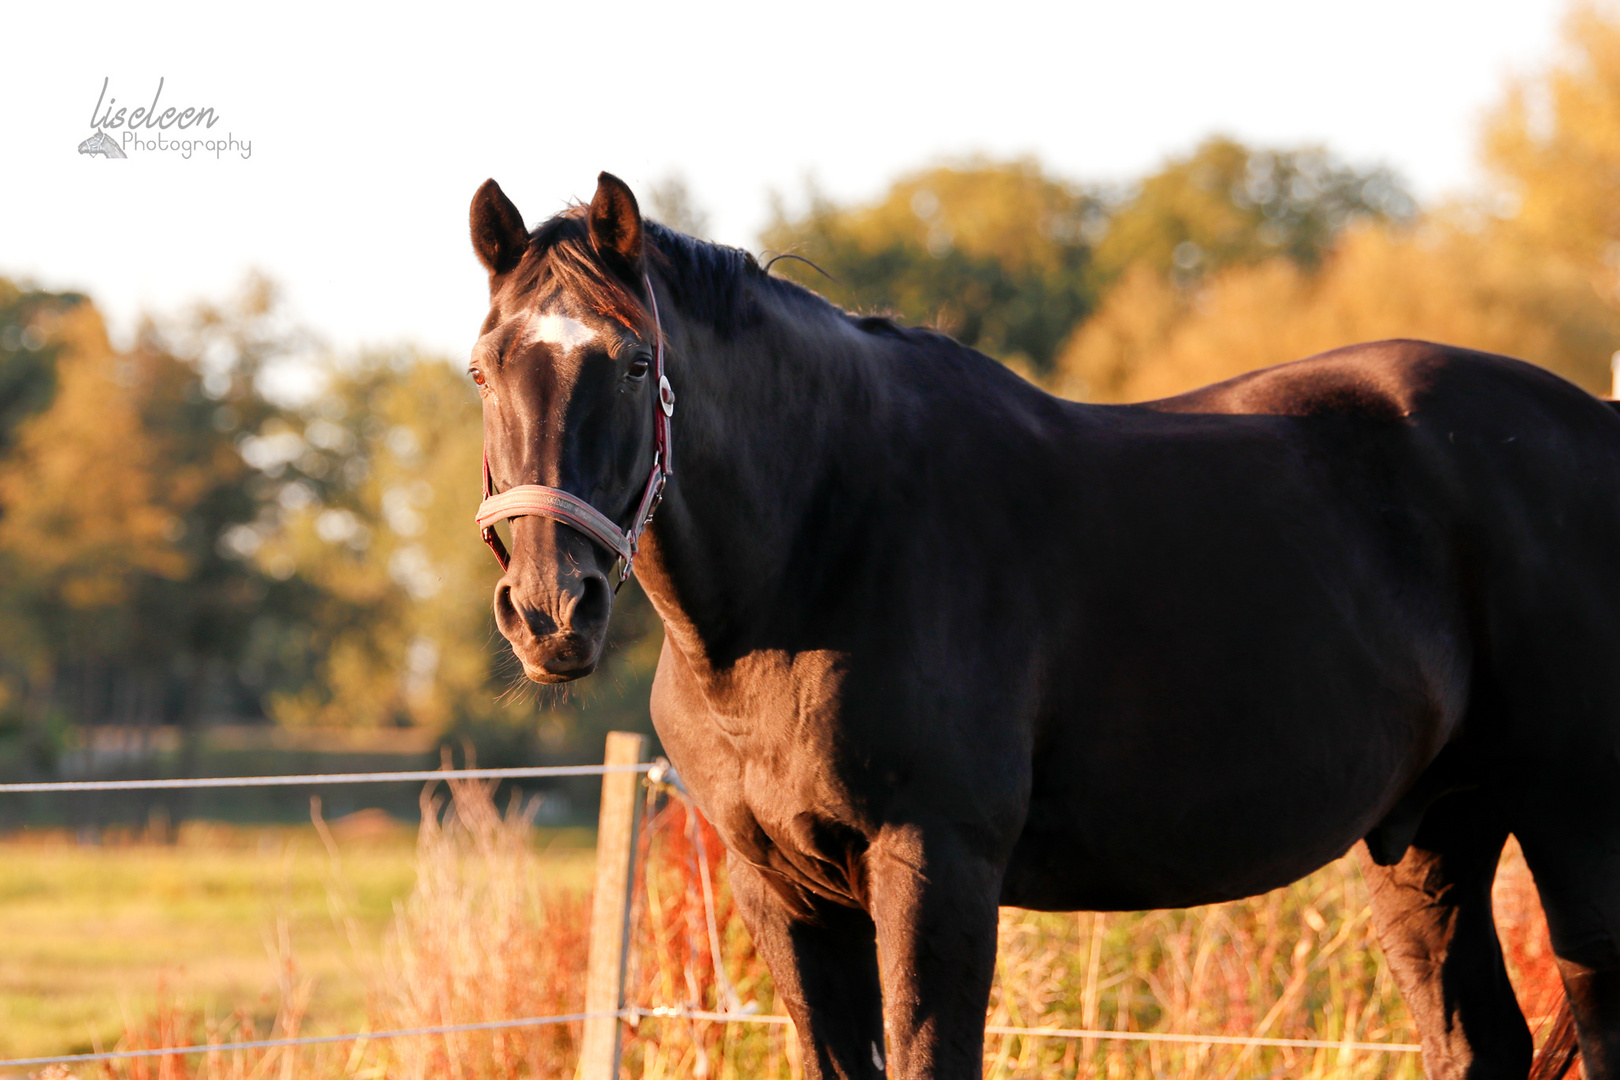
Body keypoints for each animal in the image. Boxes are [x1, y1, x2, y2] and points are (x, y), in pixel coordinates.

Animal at [463, 173, 1613, 1075]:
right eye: (483, 369)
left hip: (1571, 825)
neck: (826, 549)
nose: (550, 610)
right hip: (1434, 833)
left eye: (630, 362)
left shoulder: (936, 871)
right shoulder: (779, 890)